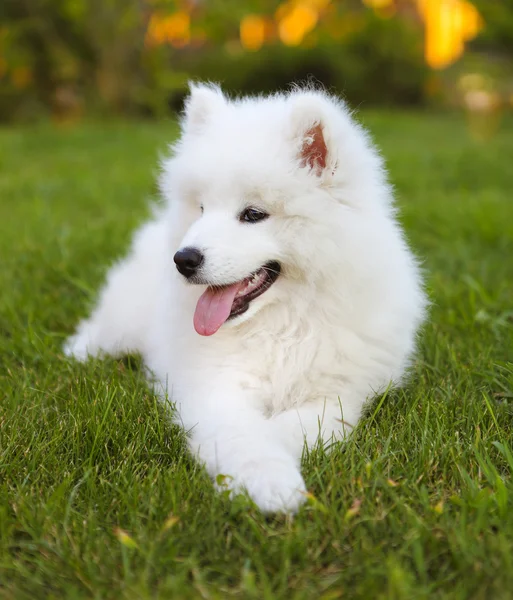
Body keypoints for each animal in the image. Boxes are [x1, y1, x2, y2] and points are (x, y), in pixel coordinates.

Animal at [63, 84, 424, 512]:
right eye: (202, 208)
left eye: (253, 214)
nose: (183, 259)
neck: (282, 326)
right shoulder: (217, 386)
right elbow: (244, 435)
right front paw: (268, 483)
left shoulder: (339, 395)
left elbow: (291, 427)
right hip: (124, 319)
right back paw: (78, 354)